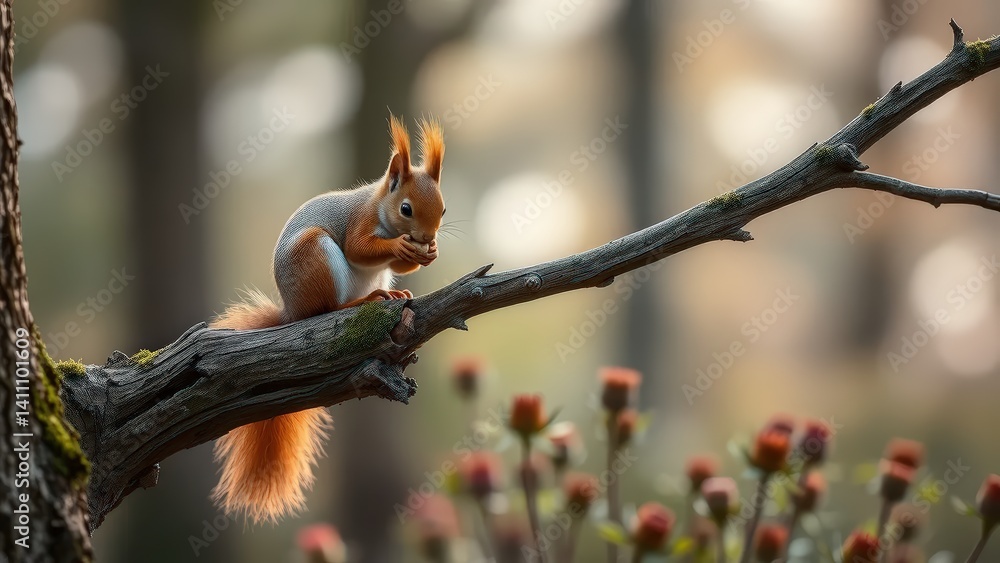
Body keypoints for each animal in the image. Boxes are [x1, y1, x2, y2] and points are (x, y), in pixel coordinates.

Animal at [210, 115, 445, 523]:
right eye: (406, 209)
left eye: (443, 210)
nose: (427, 236)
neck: (379, 203)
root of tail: (292, 309)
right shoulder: (360, 222)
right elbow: (359, 248)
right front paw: (401, 246)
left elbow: (403, 265)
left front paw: (426, 253)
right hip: (317, 256)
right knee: (327, 309)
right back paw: (360, 301)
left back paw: (394, 294)